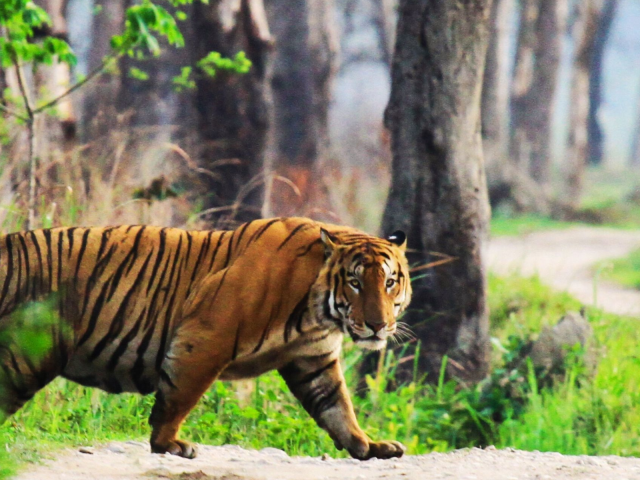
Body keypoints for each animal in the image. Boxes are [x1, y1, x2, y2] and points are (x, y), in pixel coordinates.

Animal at [0, 217, 411, 460]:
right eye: (355, 283)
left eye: (390, 281)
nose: (377, 325)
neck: (319, 314)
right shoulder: (206, 338)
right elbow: (179, 398)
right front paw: (168, 445)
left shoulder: (314, 361)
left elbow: (338, 408)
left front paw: (369, 446)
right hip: (25, 356)